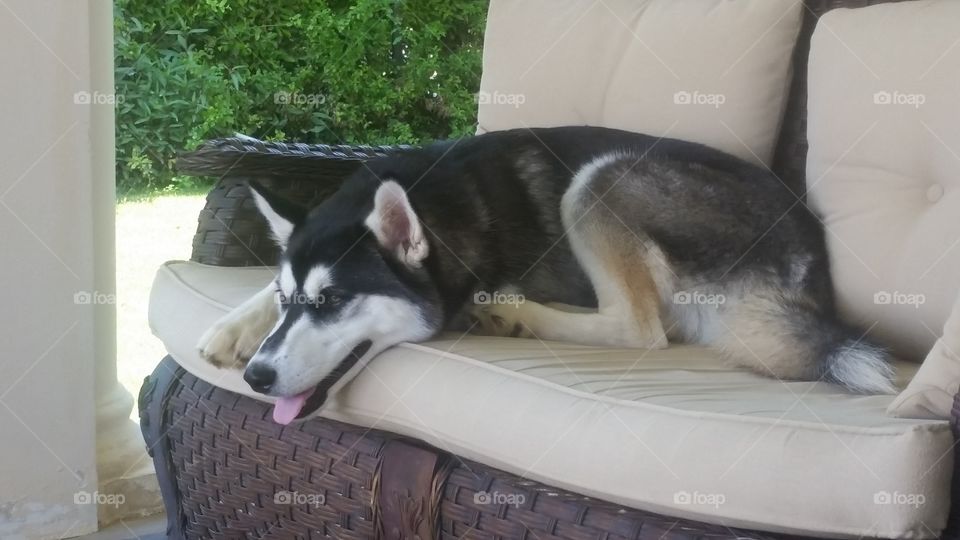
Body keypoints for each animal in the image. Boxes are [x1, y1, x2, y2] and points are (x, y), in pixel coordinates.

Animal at [199, 125, 896, 422]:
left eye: (335, 300)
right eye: (291, 300)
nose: (258, 376)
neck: (441, 212)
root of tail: (810, 260)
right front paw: (231, 328)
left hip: (601, 178)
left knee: (642, 329)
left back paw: (511, 314)